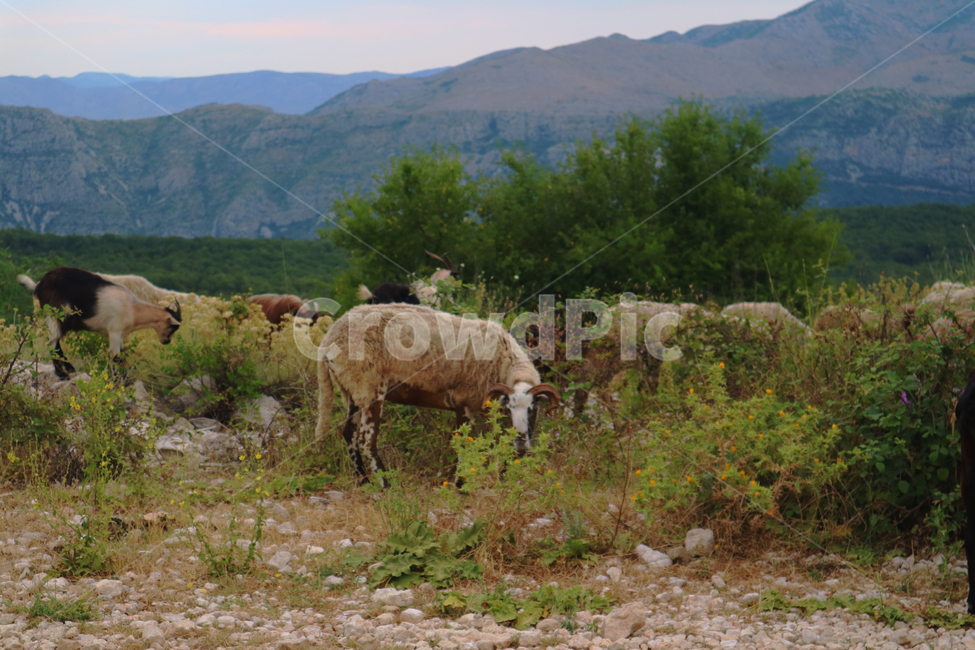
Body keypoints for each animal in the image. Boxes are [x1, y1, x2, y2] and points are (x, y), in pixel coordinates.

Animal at [18, 267, 181, 379]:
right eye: (173, 327)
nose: (166, 341)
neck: (133, 309)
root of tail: (39, 284)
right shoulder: (115, 331)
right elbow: (115, 356)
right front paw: (118, 380)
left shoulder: (121, 335)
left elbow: (121, 355)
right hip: (54, 315)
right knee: (52, 342)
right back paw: (62, 374)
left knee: (55, 342)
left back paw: (69, 369)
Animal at [315, 304, 560, 486]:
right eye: (509, 410)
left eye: (533, 410)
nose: (522, 443)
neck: (503, 361)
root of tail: (329, 338)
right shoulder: (464, 401)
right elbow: (464, 444)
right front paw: (460, 484)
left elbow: (501, 442)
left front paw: (505, 479)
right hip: (369, 386)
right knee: (367, 440)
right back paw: (385, 484)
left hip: (351, 389)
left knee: (349, 433)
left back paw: (363, 481)